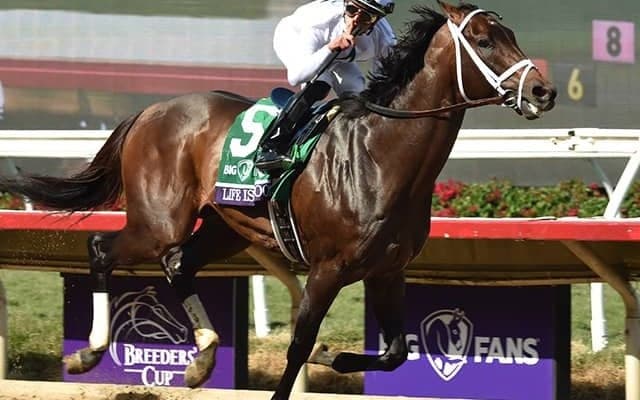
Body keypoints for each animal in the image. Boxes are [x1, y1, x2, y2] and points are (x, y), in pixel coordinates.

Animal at [0, 2, 555, 399]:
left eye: (511, 36)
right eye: (483, 40)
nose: (543, 91)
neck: (380, 155)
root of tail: (150, 110)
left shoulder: (386, 271)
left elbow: (396, 351)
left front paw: (337, 358)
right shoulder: (329, 269)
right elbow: (298, 346)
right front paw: (320, 356)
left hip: (222, 227)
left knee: (179, 264)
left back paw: (203, 357)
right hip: (160, 221)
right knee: (102, 248)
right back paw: (89, 353)